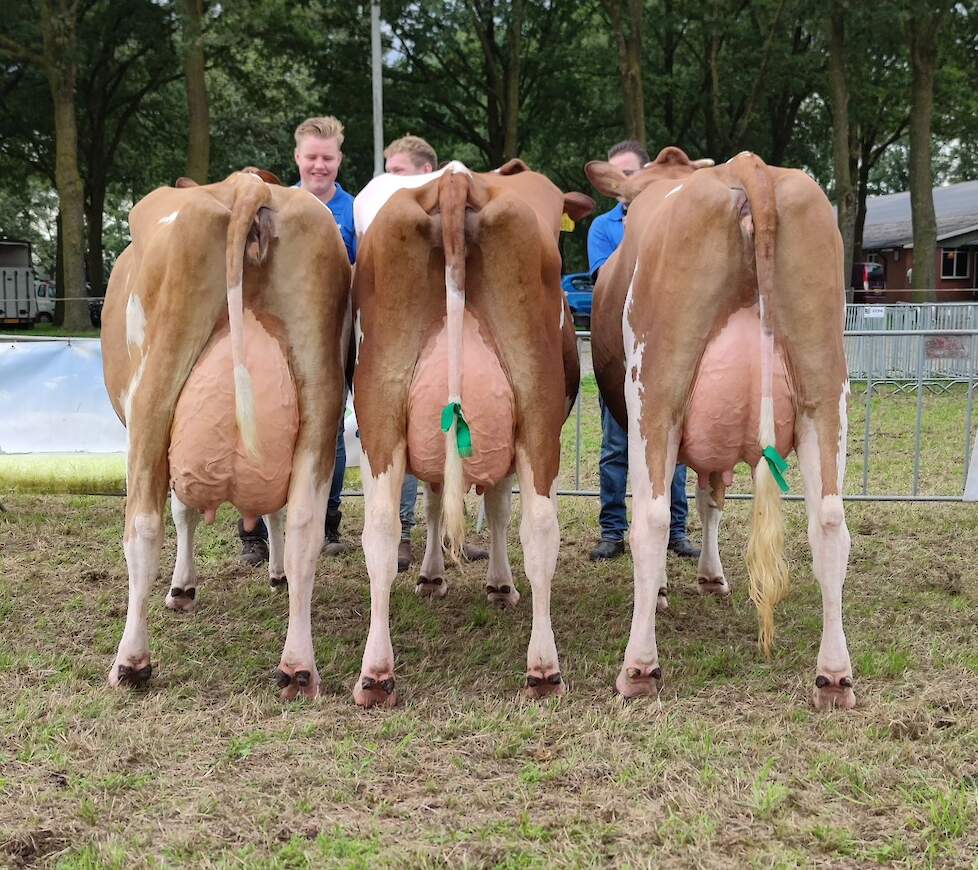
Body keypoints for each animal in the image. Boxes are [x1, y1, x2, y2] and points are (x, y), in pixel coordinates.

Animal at [99, 170, 348, 700]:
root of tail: (247, 185)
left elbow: (181, 511)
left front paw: (182, 588)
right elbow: (274, 510)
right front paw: (274, 574)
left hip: (151, 398)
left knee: (143, 526)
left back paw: (131, 663)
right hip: (321, 393)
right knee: (305, 524)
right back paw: (298, 666)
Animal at [350, 162, 592, 708]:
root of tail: (456, 178)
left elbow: (436, 501)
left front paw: (432, 576)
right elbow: (497, 508)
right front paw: (497, 585)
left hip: (380, 413)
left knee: (380, 530)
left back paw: (376, 674)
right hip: (539, 416)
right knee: (540, 527)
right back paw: (544, 669)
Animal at [584, 146, 852, 712]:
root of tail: (745, 166)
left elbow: (678, 503)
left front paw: (671, 588)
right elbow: (710, 496)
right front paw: (711, 577)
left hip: (655, 392)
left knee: (651, 520)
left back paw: (639, 668)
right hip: (825, 390)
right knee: (830, 522)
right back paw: (835, 675)